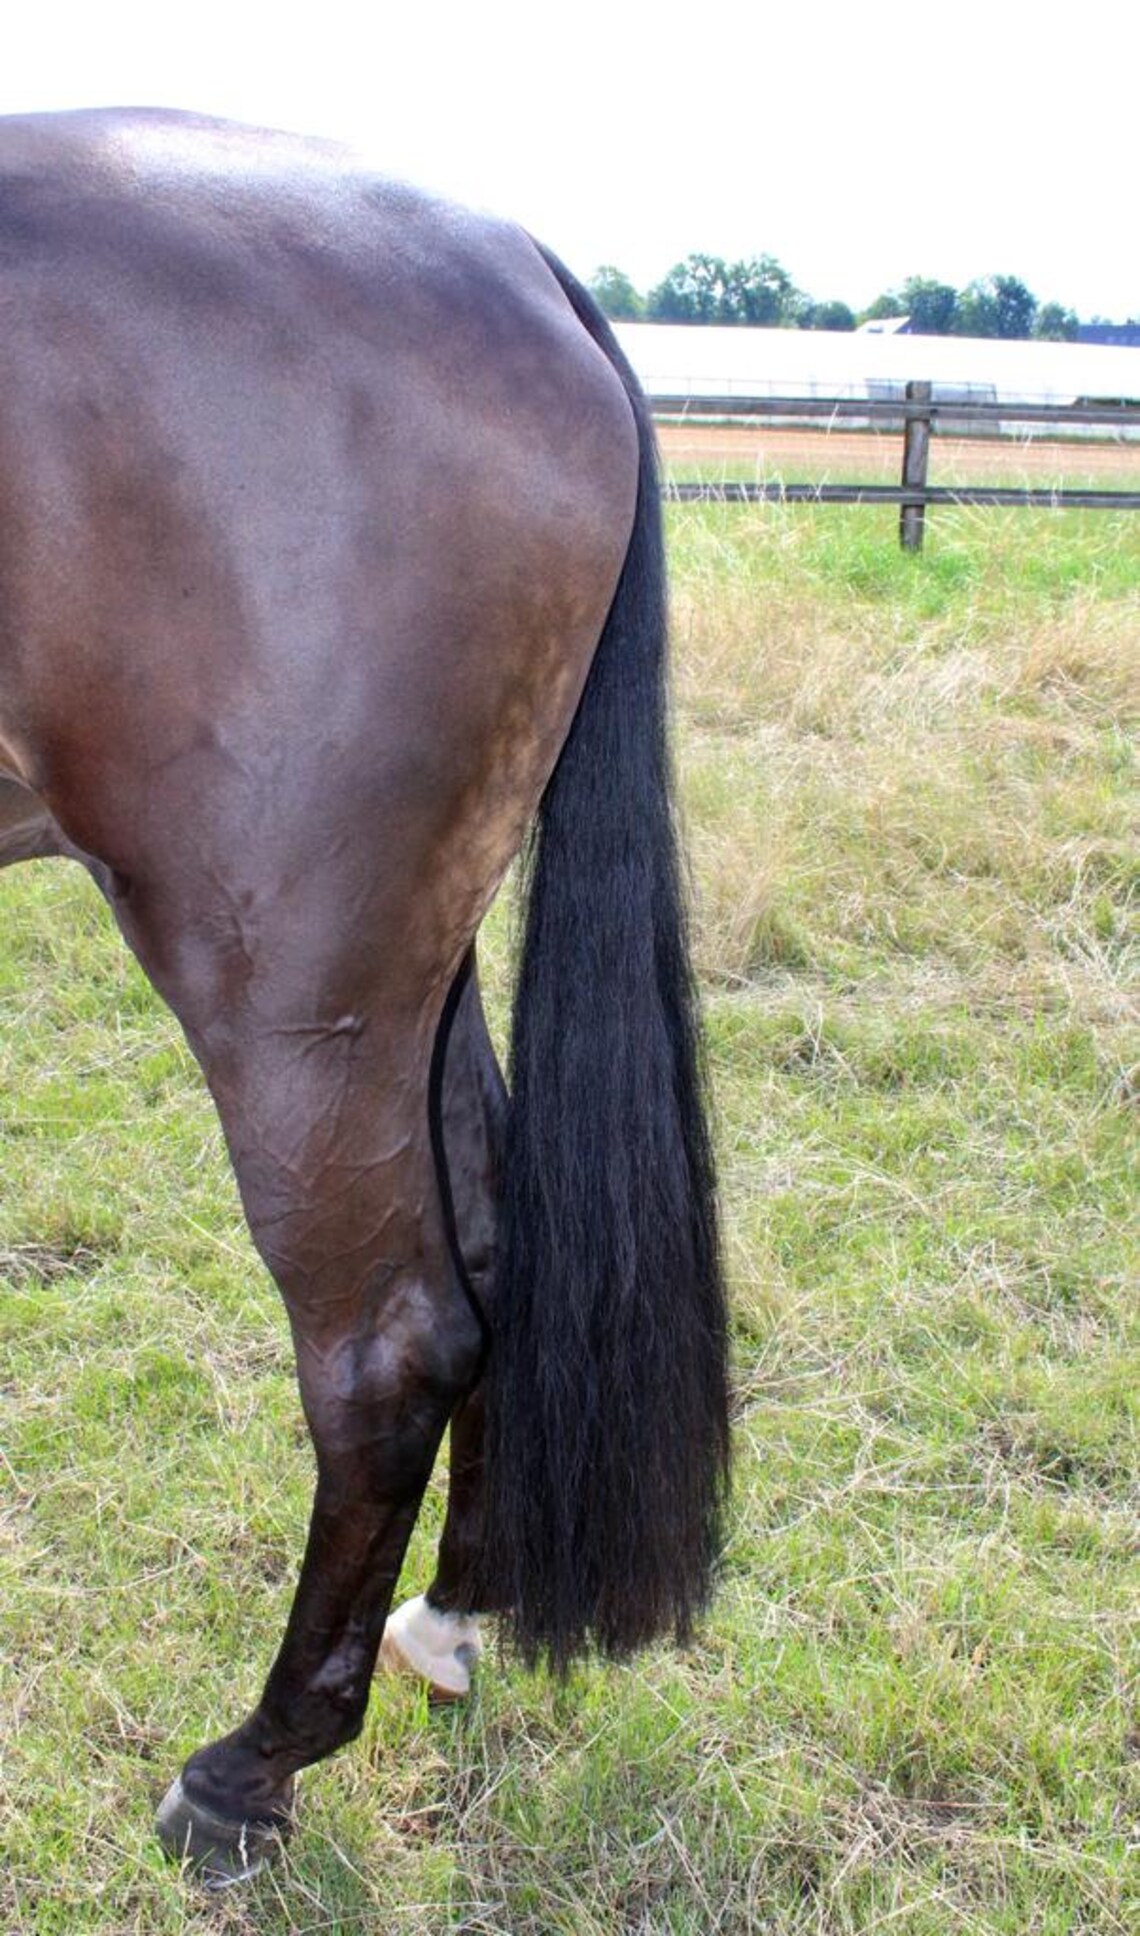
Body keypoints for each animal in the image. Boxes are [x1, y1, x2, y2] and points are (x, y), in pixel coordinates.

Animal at [0, 107, 730, 1881]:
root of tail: (523, 269)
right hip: (413, 965)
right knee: (490, 1248)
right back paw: (449, 1620)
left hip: (296, 994)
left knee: (386, 1346)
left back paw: (251, 1767)